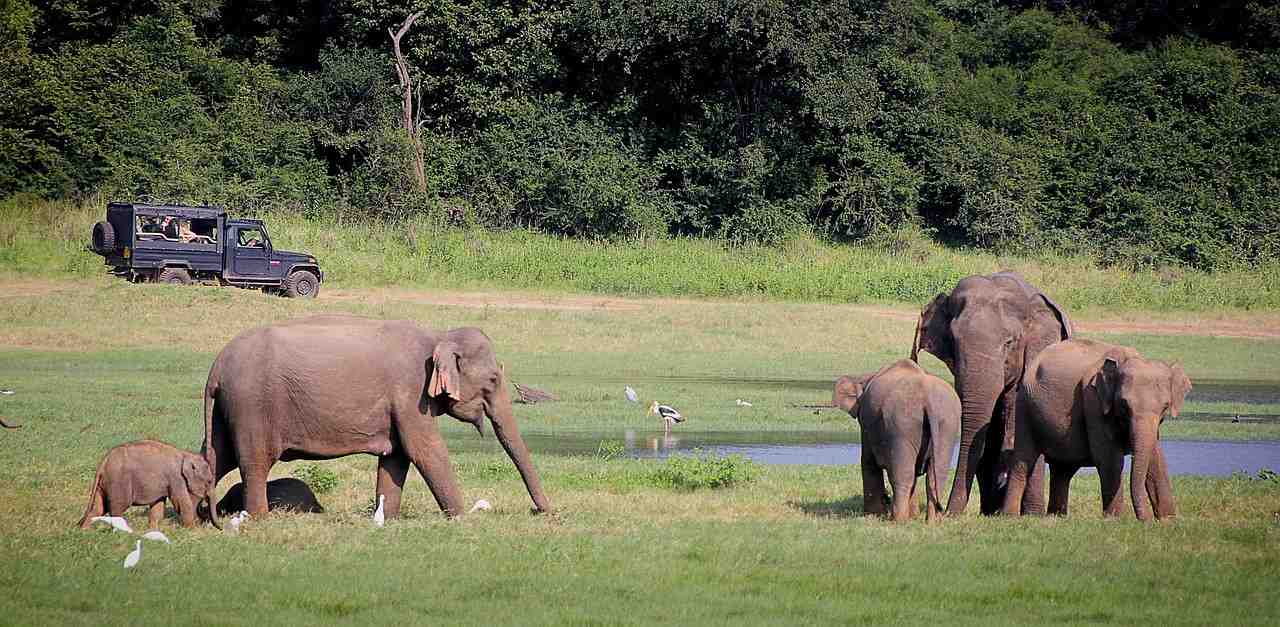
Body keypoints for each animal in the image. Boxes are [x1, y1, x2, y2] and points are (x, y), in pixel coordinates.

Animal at [78, 439, 216, 530]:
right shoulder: (176, 479)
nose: (216, 528)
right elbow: (181, 503)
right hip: (118, 483)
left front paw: (153, 531)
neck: (186, 454)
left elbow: (158, 506)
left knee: (98, 508)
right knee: (117, 509)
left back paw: (85, 531)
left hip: (103, 485)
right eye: (209, 481)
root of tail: (104, 462)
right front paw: (193, 530)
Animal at [202, 315, 550, 521]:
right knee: (254, 462)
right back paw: (259, 519)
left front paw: (388, 519)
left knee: (216, 457)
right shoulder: (411, 392)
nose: (541, 511)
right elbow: (425, 450)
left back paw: (199, 517)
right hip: (253, 406)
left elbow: (397, 457)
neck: (439, 334)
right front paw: (462, 519)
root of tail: (216, 367)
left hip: (229, 409)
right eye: (493, 379)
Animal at [833, 360, 960, 522]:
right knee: (936, 474)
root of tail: (928, 400)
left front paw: (873, 515)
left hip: (901, 424)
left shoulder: (866, 422)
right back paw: (932, 522)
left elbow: (868, 460)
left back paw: (898, 520)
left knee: (902, 475)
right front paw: (913, 516)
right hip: (947, 423)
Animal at [1001, 339, 1189, 521]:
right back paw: (1010, 516)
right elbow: (1110, 459)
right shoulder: (1094, 401)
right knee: (1023, 461)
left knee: (1063, 469)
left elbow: (1156, 460)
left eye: (1165, 406)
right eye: (1124, 404)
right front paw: (1114, 519)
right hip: (1024, 406)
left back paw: (1056, 516)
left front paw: (1168, 520)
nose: (1146, 520)